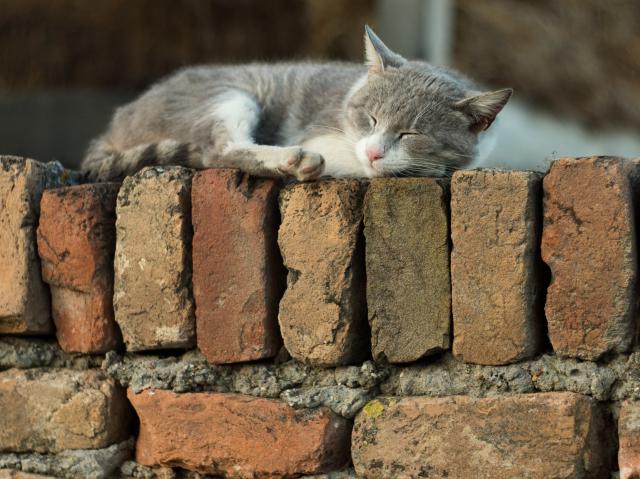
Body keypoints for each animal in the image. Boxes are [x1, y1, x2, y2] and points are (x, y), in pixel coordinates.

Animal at [81, 27, 510, 183]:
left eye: (411, 133)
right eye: (370, 118)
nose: (374, 152)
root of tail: (113, 125)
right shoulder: (324, 136)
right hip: (231, 95)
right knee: (217, 150)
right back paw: (291, 161)